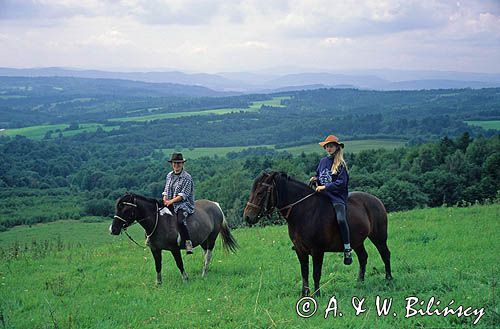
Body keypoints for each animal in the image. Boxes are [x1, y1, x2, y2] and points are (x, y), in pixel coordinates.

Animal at [110, 192, 238, 282]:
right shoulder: (155, 249)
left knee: (208, 255)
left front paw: (185, 279)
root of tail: (215, 205)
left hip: (212, 238)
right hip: (203, 240)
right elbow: (158, 265)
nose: (113, 229)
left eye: (126, 209)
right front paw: (158, 283)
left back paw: (204, 274)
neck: (158, 222)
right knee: (206, 253)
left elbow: (179, 263)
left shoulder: (174, 249)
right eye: (117, 207)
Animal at [244, 170, 392, 296]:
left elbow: (316, 273)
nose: (247, 217)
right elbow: (304, 272)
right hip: (357, 241)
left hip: (379, 237)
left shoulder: (317, 251)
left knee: (385, 254)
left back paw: (388, 278)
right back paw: (360, 282)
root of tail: (376, 200)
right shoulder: (300, 250)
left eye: (260, 193)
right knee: (363, 257)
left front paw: (317, 294)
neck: (305, 211)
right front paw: (304, 294)